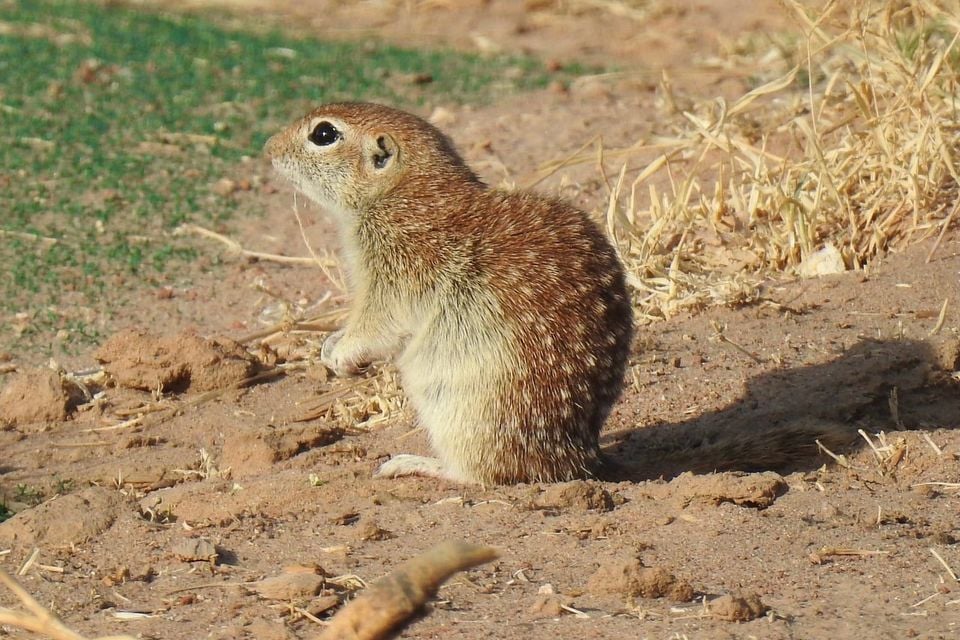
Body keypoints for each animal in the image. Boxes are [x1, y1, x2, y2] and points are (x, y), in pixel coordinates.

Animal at [265, 102, 633, 484]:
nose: (269, 148)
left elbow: (377, 324)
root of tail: (576, 457)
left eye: (324, 134)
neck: (404, 193)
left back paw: (411, 463)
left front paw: (341, 354)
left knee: (477, 474)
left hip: (463, 416)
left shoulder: (397, 274)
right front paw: (330, 344)